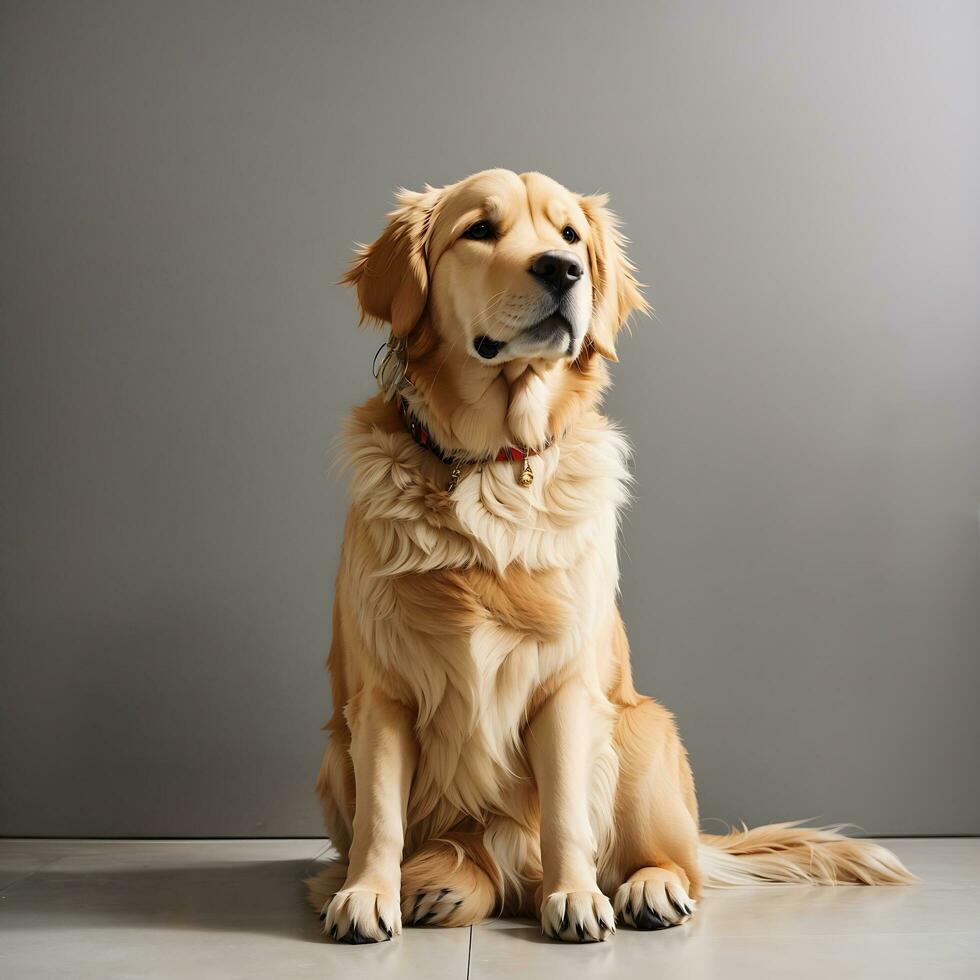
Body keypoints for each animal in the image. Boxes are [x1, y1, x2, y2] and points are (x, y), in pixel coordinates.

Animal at [310, 167, 916, 940]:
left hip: (643, 731)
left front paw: (574, 897)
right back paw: (438, 883)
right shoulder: (382, 694)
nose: (561, 270)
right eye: (479, 230)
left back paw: (645, 888)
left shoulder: (566, 688)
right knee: (479, 859)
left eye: (570, 236)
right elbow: (381, 817)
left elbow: (566, 814)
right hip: (335, 755)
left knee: (671, 864)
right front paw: (365, 894)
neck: (488, 466)